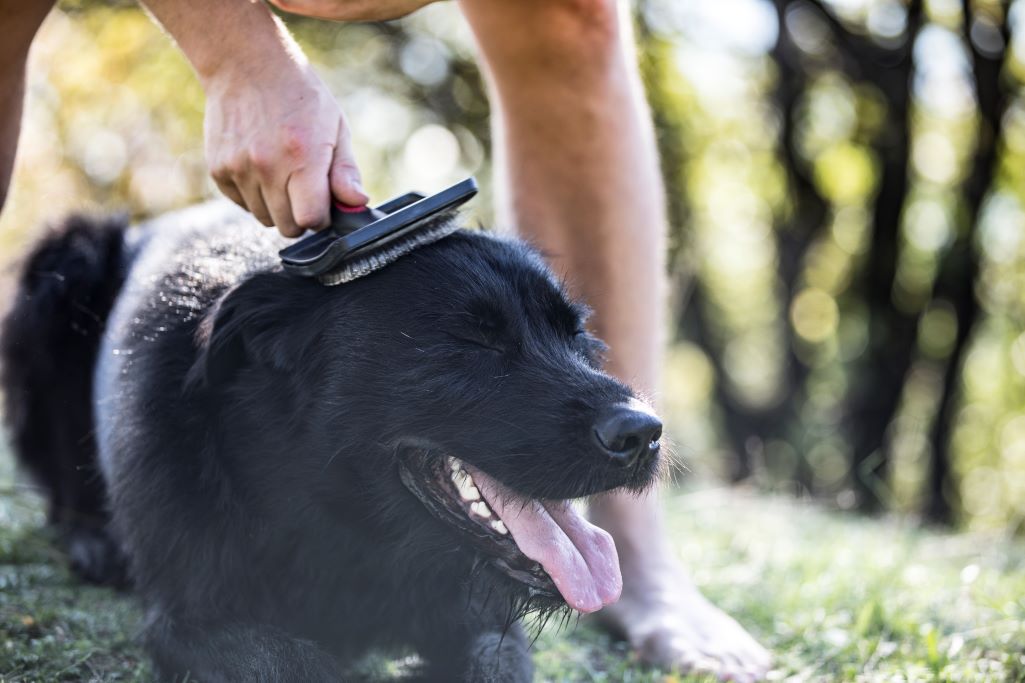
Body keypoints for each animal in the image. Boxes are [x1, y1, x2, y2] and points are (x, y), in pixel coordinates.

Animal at [0, 199, 660, 676]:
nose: (644, 433)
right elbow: (289, 659)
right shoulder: (191, 619)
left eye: (576, 334)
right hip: (62, 265)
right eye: (473, 341)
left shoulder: (484, 622)